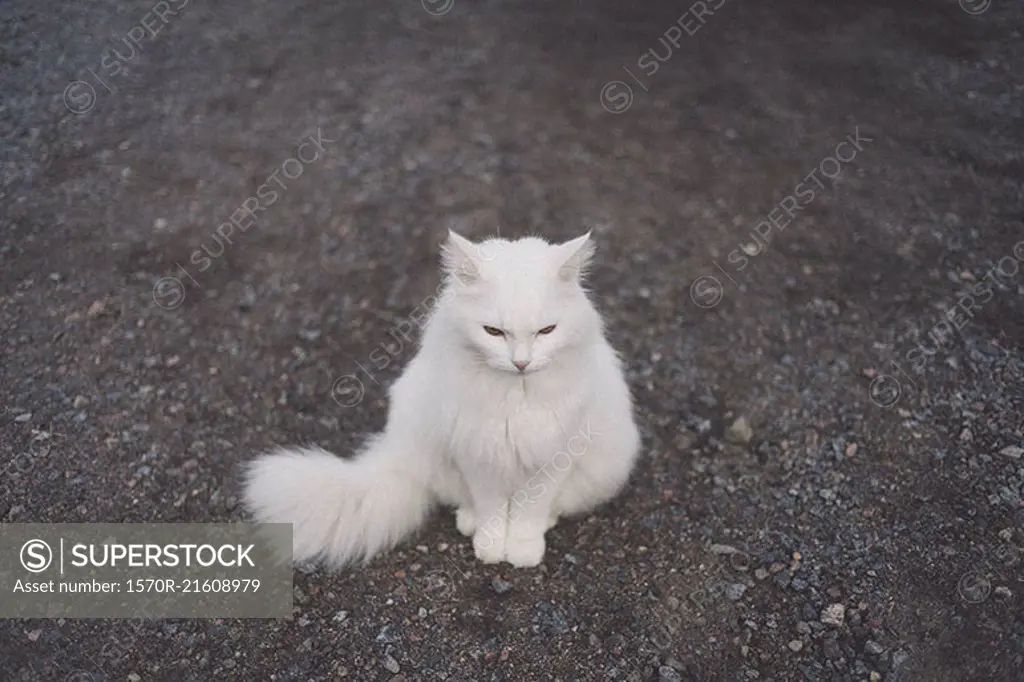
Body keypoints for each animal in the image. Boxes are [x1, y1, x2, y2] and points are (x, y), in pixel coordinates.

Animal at [240, 231, 638, 565]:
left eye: (546, 331)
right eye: (494, 332)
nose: (521, 363)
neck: (514, 397)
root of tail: (394, 454)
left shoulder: (553, 459)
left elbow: (530, 511)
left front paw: (523, 552)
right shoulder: (479, 457)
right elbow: (493, 510)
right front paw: (491, 548)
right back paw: (470, 523)